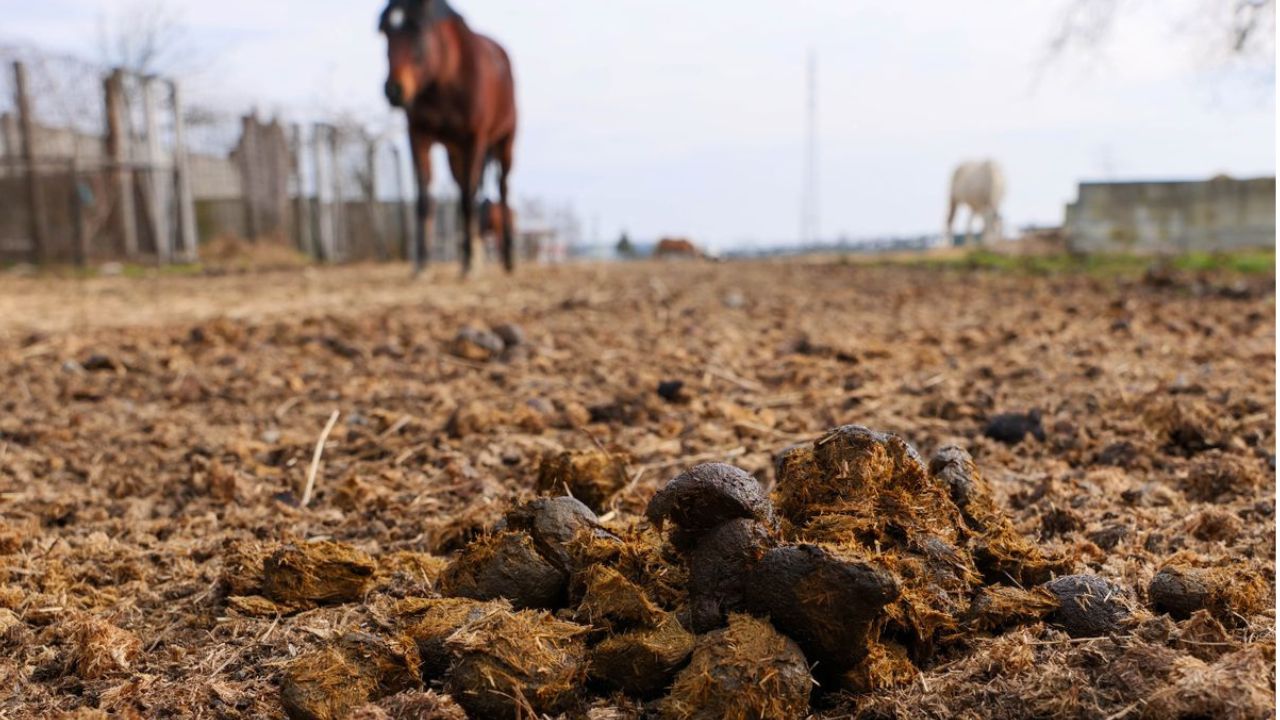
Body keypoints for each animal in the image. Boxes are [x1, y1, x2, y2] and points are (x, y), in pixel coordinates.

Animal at [379, 0, 517, 276]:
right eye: (385, 32)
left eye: (419, 31)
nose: (394, 90)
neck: (443, 80)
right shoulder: (418, 135)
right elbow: (424, 197)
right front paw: (422, 263)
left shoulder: (475, 138)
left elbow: (467, 199)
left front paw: (470, 263)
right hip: (455, 152)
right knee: (465, 186)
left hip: (505, 139)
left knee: (502, 188)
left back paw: (505, 259)